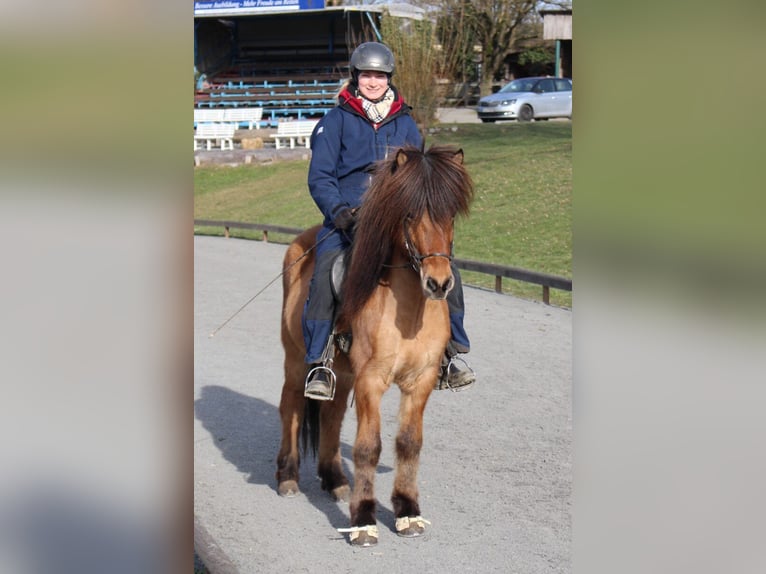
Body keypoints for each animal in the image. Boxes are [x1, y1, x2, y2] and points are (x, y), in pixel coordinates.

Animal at [276, 144, 474, 546]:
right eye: (410, 214)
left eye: (450, 214)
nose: (438, 283)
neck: (407, 310)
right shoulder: (371, 380)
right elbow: (369, 447)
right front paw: (364, 520)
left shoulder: (420, 381)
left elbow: (409, 443)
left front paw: (408, 511)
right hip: (297, 361)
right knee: (290, 407)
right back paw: (288, 475)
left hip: (341, 372)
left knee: (332, 414)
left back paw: (335, 480)